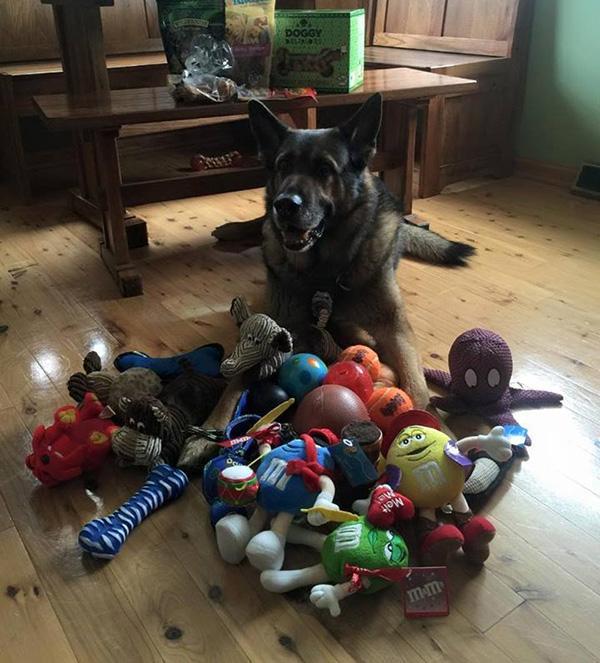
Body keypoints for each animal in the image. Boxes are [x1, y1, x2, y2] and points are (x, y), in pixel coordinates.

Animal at [178, 93, 474, 470]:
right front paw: (208, 432)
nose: (285, 205)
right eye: (283, 165)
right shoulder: (275, 325)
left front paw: (440, 431)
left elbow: (417, 385)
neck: (323, 267)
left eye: (324, 169)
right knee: (260, 221)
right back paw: (235, 228)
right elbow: (236, 381)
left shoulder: (394, 327)